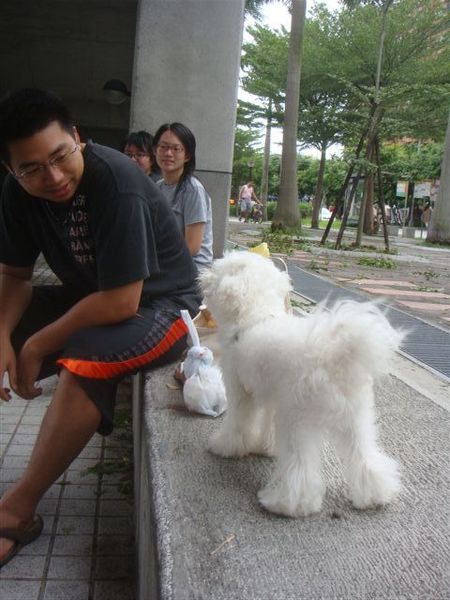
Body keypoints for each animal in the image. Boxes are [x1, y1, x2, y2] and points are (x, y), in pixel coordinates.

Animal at [199, 251, 402, 516]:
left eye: (217, 269)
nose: (202, 274)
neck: (255, 317)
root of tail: (333, 357)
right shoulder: (273, 396)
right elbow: (267, 425)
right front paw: (266, 447)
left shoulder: (240, 390)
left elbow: (237, 423)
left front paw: (225, 446)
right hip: (356, 419)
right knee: (365, 457)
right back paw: (375, 495)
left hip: (298, 420)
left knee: (300, 469)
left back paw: (286, 504)